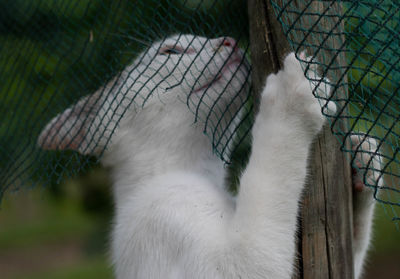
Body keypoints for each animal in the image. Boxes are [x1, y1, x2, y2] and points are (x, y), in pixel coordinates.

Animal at [39, 35, 380, 279]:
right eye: (170, 51)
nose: (227, 40)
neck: (198, 172)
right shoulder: (232, 265)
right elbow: (270, 171)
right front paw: (293, 94)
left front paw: (363, 165)